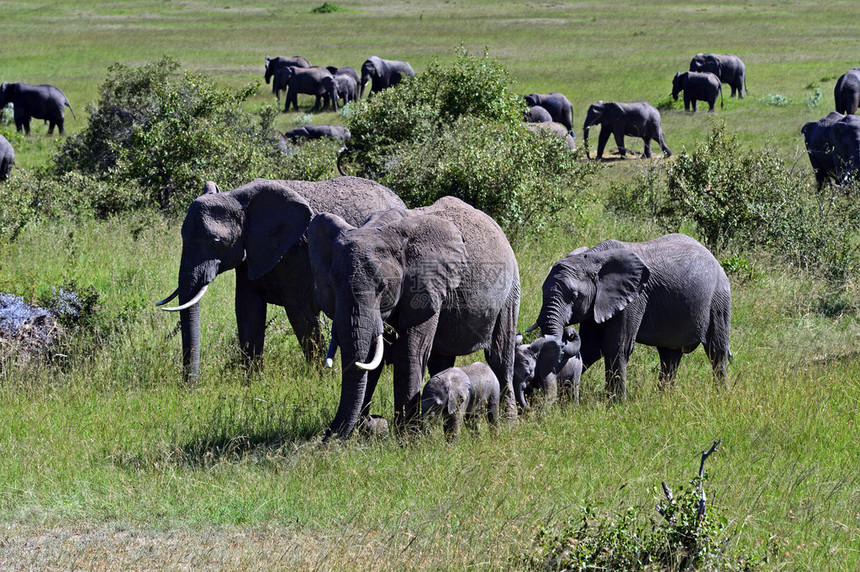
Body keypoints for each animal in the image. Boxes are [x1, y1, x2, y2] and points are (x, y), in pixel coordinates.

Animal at [155, 177, 404, 386]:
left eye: (215, 241)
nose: (189, 386)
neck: (238, 198)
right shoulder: (252, 253)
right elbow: (248, 311)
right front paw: (252, 383)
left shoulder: (297, 252)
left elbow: (300, 316)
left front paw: (319, 380)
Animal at [310, 196, 524, 438]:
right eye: (330, 286)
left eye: (382, 286)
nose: (326, 439)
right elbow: (372, 359)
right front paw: (364, 432)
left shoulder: (424, 286)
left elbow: (409, 353)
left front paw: (406, 439)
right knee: (442, 359)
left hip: (510, 289)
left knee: (500, 355)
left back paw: (508, 425)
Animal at [532, 235, 732, 400]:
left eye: (574, 295)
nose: (567, 333)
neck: (594, 257)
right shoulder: (598, 303)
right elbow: (589, 347)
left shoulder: (634, 299)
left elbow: (616, 347)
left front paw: (616, 405)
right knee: (670, 356)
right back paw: (663, 400)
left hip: (719, 299)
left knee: (716, 352)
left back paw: (720, 397)